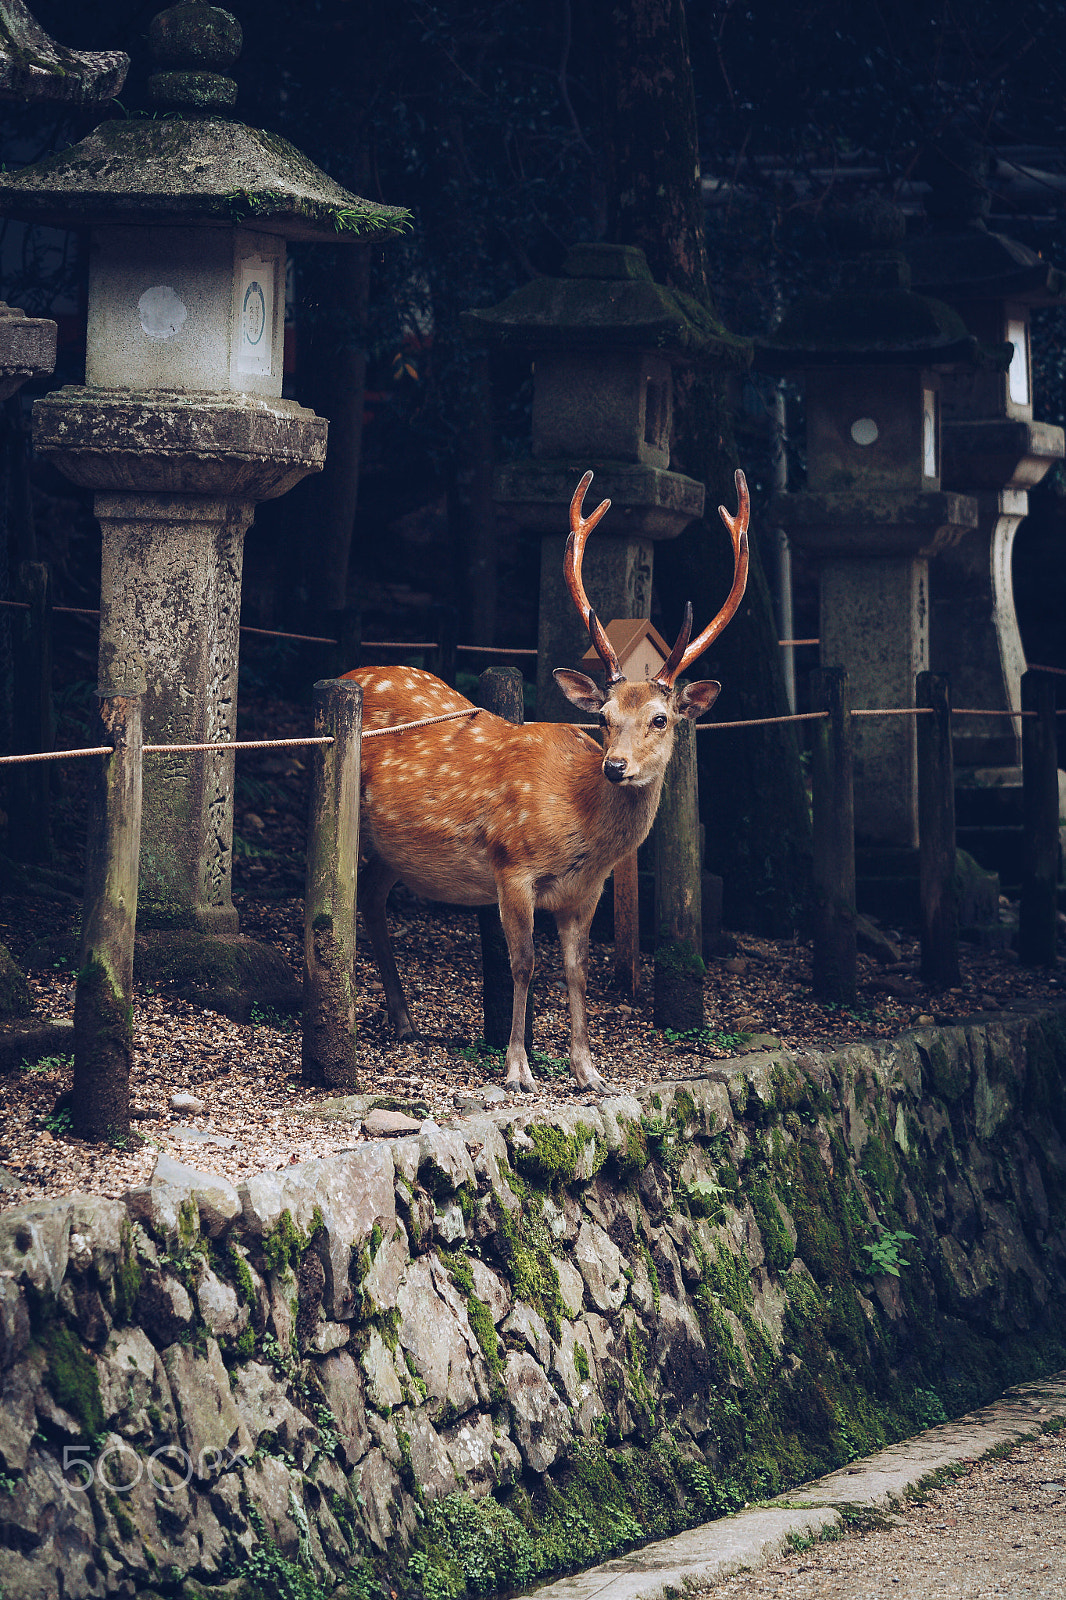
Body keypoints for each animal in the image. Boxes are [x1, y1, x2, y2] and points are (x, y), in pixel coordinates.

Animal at [345, 467, 749, 1094]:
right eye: (602, 717)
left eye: (661, 718)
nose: (615, 766)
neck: (581, 829)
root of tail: (344, 671)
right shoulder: (512, 864)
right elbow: (524, 962)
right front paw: (518, 1068)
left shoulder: (587, 890)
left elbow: (576, 970)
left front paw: (589, 1070)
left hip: (397, 849)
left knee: (371, 895)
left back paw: (405, 1018)